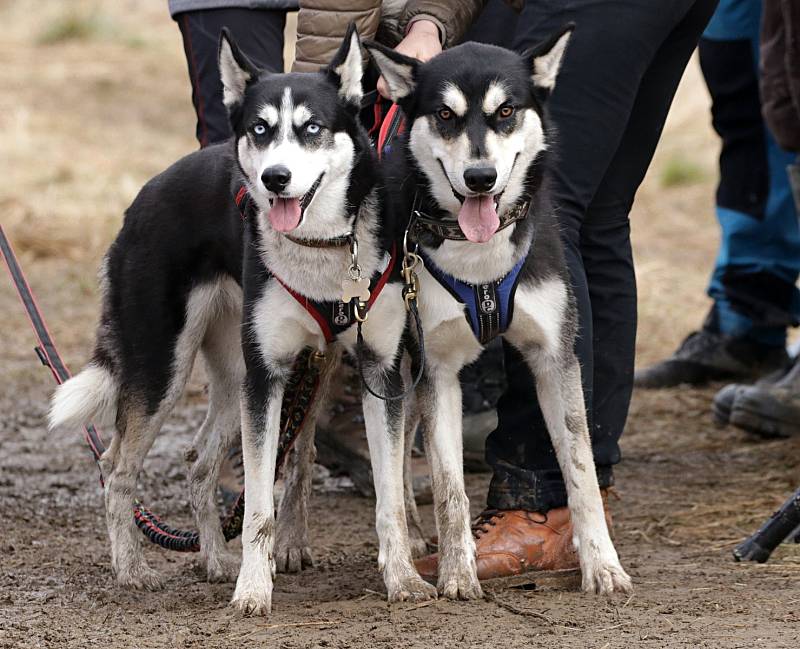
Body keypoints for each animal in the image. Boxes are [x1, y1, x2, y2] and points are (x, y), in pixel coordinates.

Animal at [47, 25, 434, 612]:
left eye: (313, 128)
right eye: (260, 129)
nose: (275, 178)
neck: (320, 248)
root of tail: (143, 197)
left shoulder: (379, 372)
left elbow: (387, 496)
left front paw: (404, 578)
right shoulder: (268, 378)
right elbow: (257, 508)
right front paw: (254, 590)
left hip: (232, 378)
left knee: (199, 462)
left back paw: (213, 560)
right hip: (166, 371)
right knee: (116, 467)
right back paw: (133, 568)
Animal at [366, 29, 636, 596]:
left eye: (506, 110)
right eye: (444, 115)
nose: (479, 177)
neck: (480, 262)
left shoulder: (554, 358)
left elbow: (581, 472)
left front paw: (603, 566)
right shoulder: (438, 370)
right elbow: (449, 486)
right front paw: (457, 573)